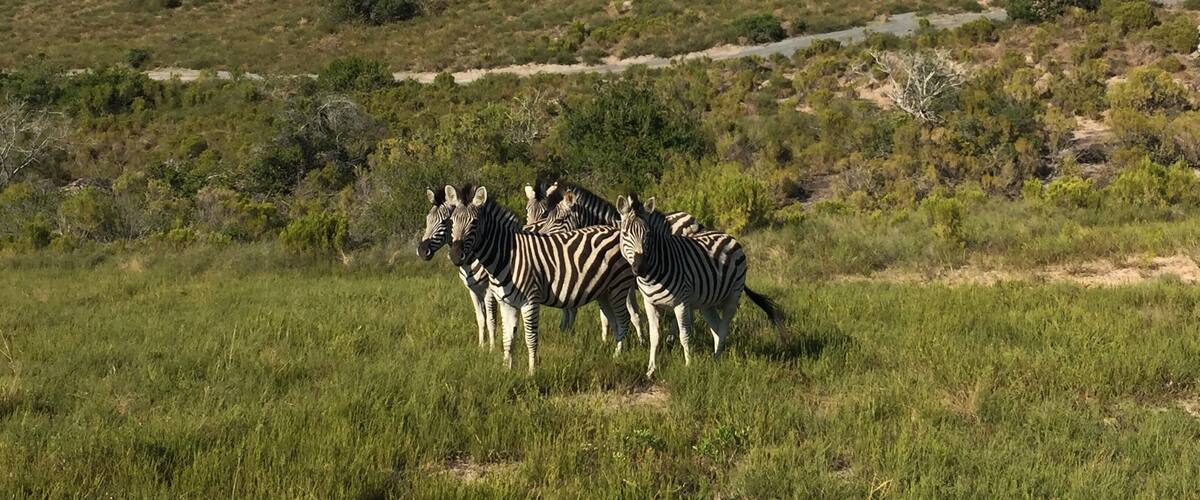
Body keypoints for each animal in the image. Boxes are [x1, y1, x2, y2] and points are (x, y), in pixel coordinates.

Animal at [417, 187, 497, 349]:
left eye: (444, 222)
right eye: (427, 220)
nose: (422, 251)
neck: (469, 262)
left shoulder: (489, 290)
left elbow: (491, 319)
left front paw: (493, 348)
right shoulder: (473, 290)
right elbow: (481, 318)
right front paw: (481, 347)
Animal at [445, 184, 638, 374]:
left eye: (474, 222)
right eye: (452, 221)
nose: (455, 255)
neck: (506, 256)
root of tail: (617, 229)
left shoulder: (530, 301)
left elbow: (530, 339)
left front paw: (532, 373)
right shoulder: (506, 303)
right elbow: (508, 339)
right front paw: (507, 370)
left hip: (619, 287)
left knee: (624, 320)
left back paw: (619, 358)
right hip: (604, 292)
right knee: (614, 322)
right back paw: (614, 354)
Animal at [615, 194, 785, 378]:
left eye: (648, 234)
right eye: (625, 233)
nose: (640, 268)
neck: (653, 275)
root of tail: (728, 236)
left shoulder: (681, 303)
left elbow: (684, 335)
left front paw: (688, 367)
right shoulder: (649, 304)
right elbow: (654, 336)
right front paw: (650, 370)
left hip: (733, 295)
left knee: (723, 327)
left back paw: (716, 359)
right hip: (707, 303)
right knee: (716, 328)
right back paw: (716, 358)